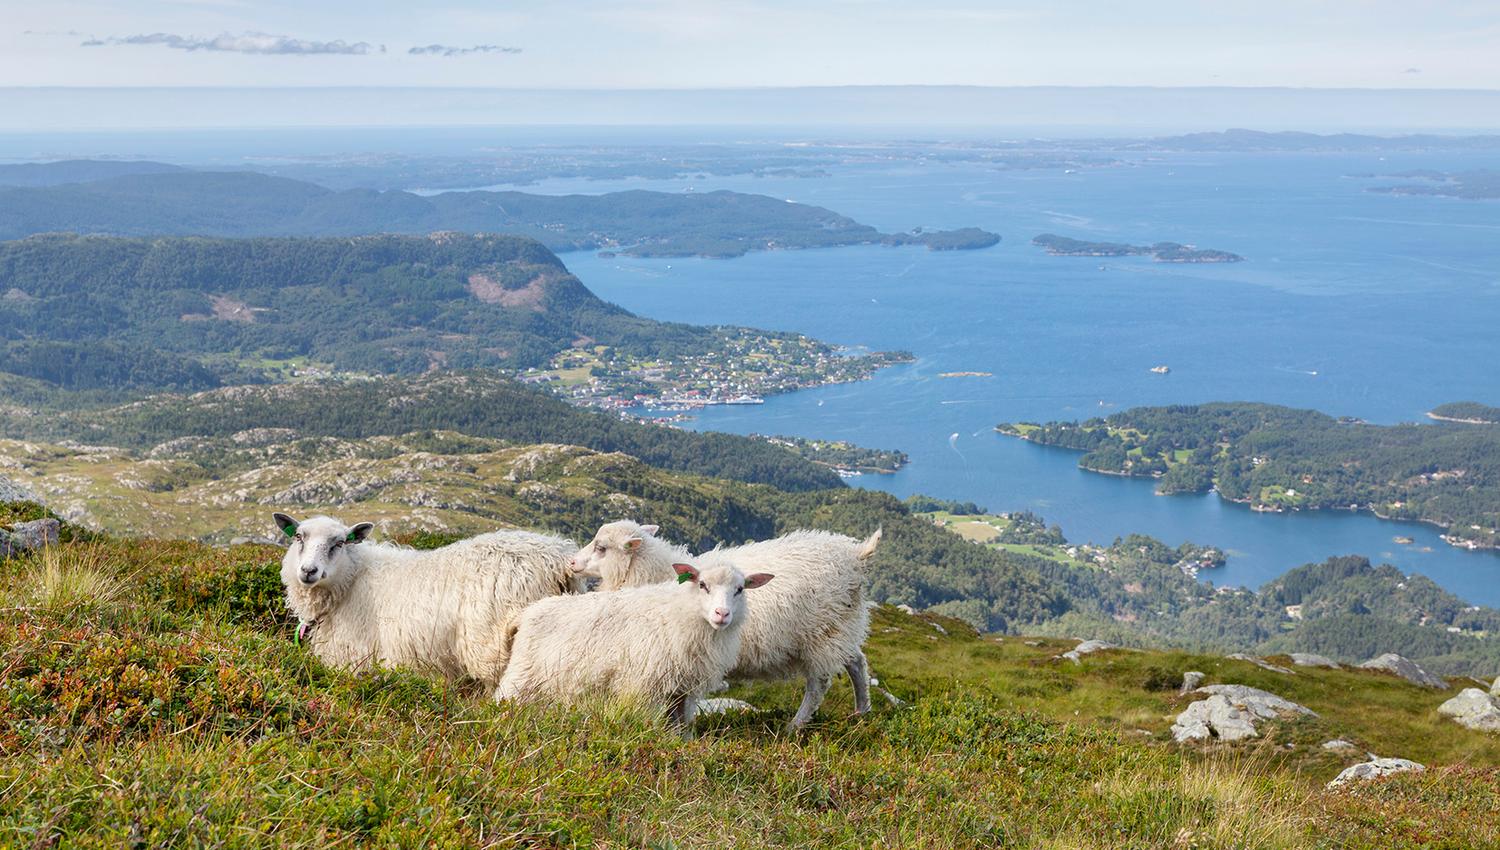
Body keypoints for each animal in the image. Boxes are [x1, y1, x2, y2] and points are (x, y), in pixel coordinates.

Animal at [274, 512, 583, 688]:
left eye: (339, 543)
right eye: (298, 537)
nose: (308, 571)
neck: (351, 581)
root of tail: (557, 559)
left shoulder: (353, 658)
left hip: (496, 645)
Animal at [495, 560, 773, 725]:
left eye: (740, 589)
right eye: (702, 585)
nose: (722, 614)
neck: (682, 612)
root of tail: (527, 612)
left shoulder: (681, 689)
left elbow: (679, 724)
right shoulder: (644, 683)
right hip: (523, 674)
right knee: (503, 697)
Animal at [575, 520, 881, 729]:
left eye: (601, 547)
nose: (573, 563)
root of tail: (855, 555)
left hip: (822, 633)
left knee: (818, 684)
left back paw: (795, 725)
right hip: (841, 628)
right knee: (858, 663)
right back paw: (862, 712)